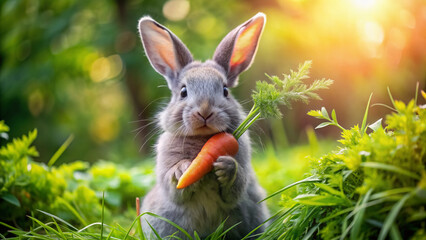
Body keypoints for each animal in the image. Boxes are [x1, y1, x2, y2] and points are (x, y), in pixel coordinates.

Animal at [137, 13, 270, 240]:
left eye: (225, 90)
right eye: (183, 92)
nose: (205, 111)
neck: (204, 140)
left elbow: (237, 185)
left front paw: (226, 166)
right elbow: (175, 186)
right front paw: (182, 169)